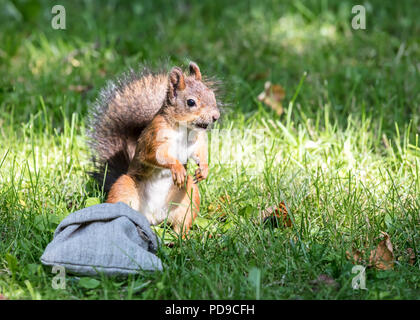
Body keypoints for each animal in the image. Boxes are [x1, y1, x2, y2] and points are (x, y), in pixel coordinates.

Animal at [87, 60, 221, 235]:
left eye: (212, 95)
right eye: (191, 102)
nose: (215, 116)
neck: (184, 129)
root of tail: (152, 218)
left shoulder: (196, 142)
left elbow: (200, 153)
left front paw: (204, 169)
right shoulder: (153, 138)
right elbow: (155, 155)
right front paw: (177, 168)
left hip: (188, 197)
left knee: (182, 223)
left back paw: (182, 238)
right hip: (124, 189)